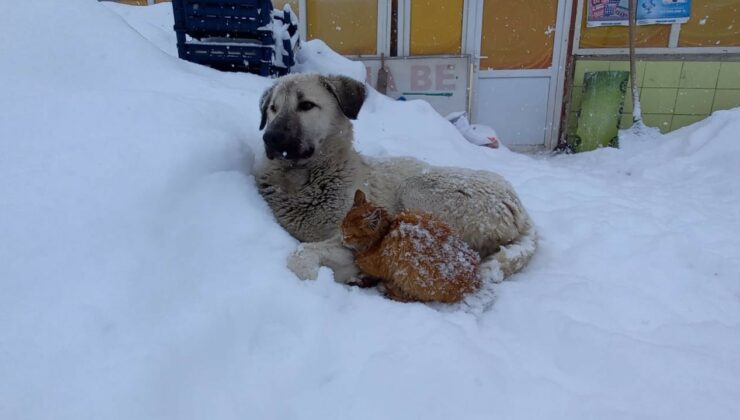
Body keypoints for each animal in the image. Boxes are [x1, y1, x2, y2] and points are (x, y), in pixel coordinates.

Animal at [258, 74, 536, 286]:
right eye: (273, 108)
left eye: (306, 105)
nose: (270, 138)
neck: (305, 179)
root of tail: (522, 210)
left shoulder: (350, 238)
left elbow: (301, 253)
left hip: (415, 189)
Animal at [342, 189, 480, 302]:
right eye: (341, 226)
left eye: (349, 235)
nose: (342, 239)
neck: (382, 236)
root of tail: (473, 281)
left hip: (407, 271)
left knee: (414, 298)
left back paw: (389, 290)